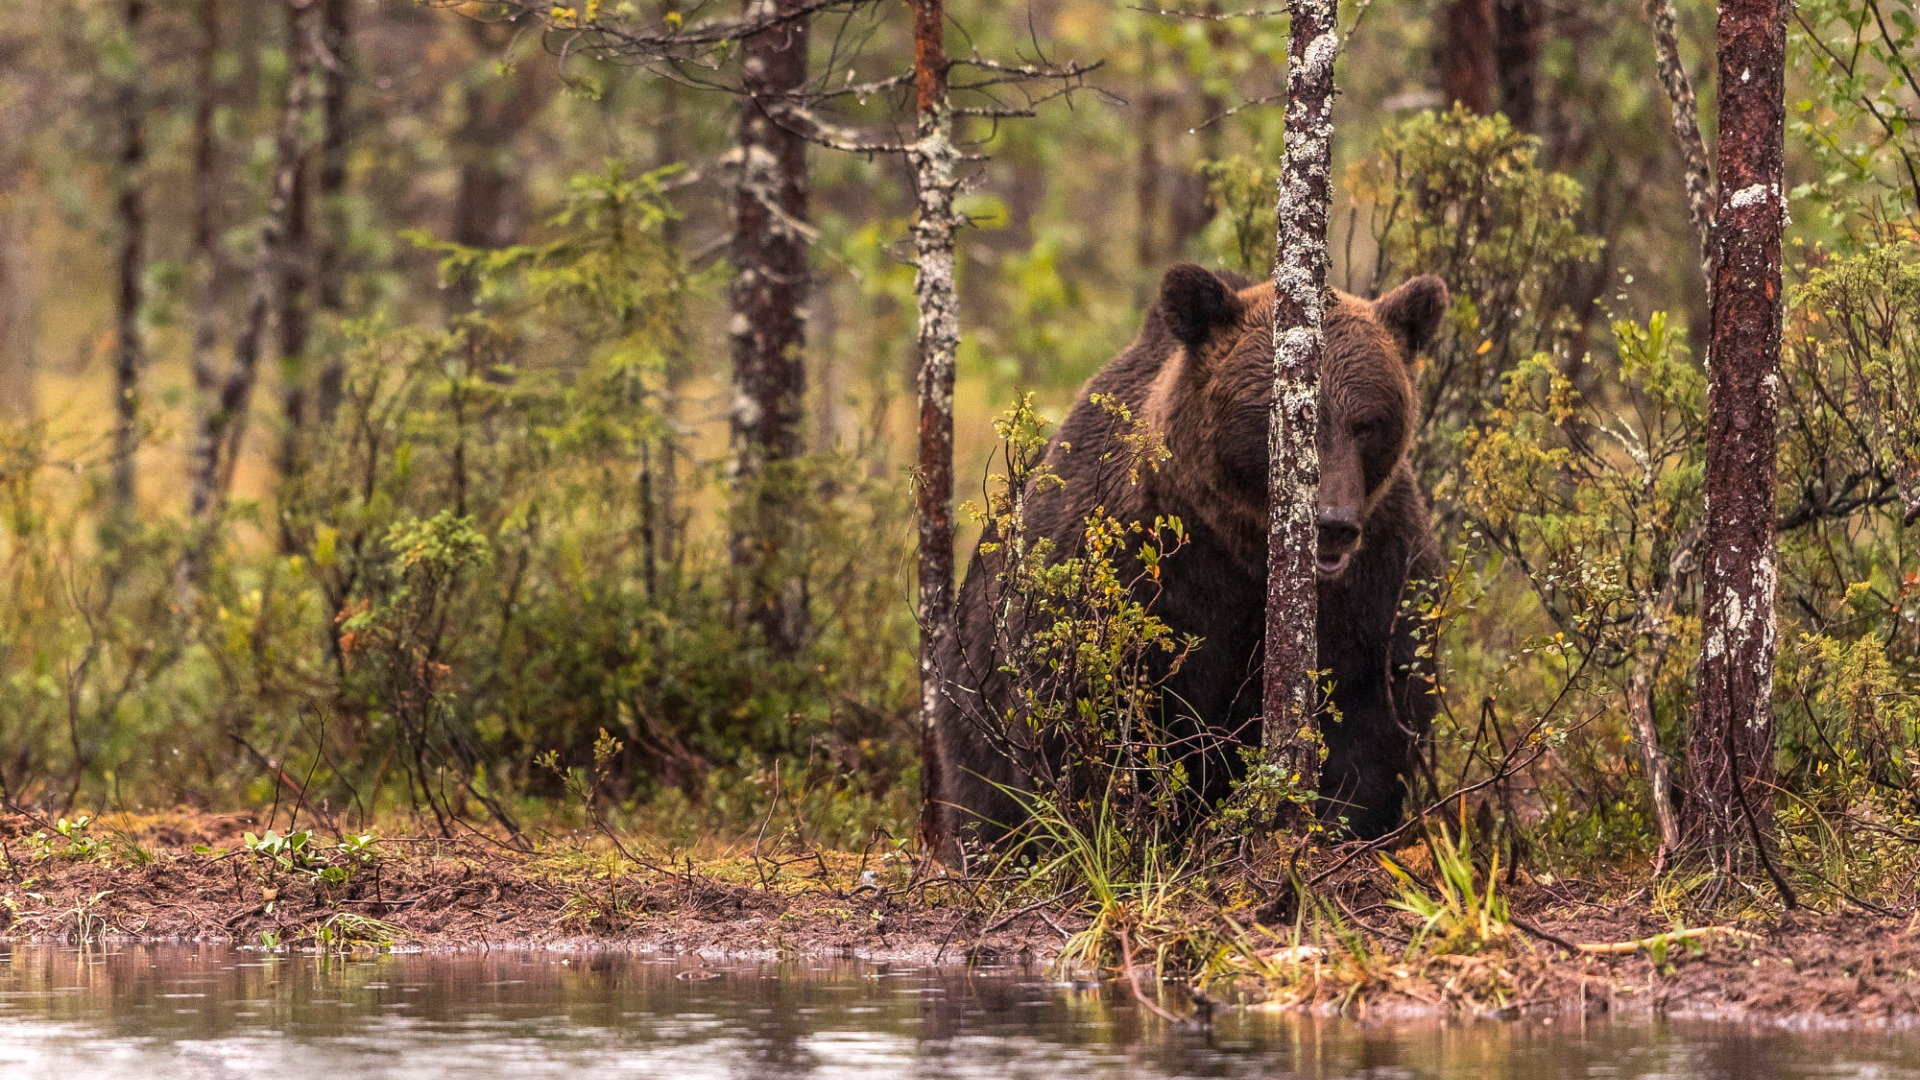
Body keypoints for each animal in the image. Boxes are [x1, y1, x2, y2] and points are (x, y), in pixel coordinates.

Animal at [921, 265, 1443, 860]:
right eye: (1280, 421)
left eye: (1368, 423)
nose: (1332, 523)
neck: (1244, 549)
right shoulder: (1134, 572)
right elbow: (1084, 713)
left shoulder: (1378, 576)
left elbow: (1376, 709)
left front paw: (1339, 825)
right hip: (968, 699)